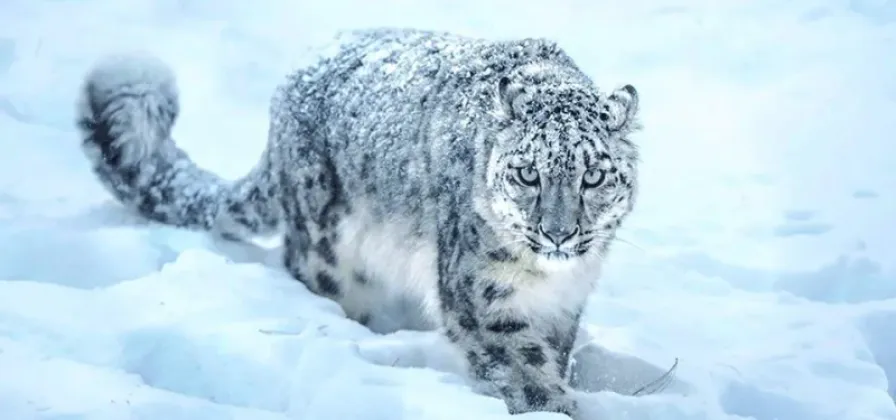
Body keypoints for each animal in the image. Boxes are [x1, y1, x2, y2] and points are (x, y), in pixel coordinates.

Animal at [76, 28, 641, 418]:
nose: (558, 232)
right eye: (527, 173)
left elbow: (551, 355)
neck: (549, 279)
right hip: (326, 250)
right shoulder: (484, 298)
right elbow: (526, 371)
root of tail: (290, 89)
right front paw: (557, 405)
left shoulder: (563, 306)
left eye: (593, 175)